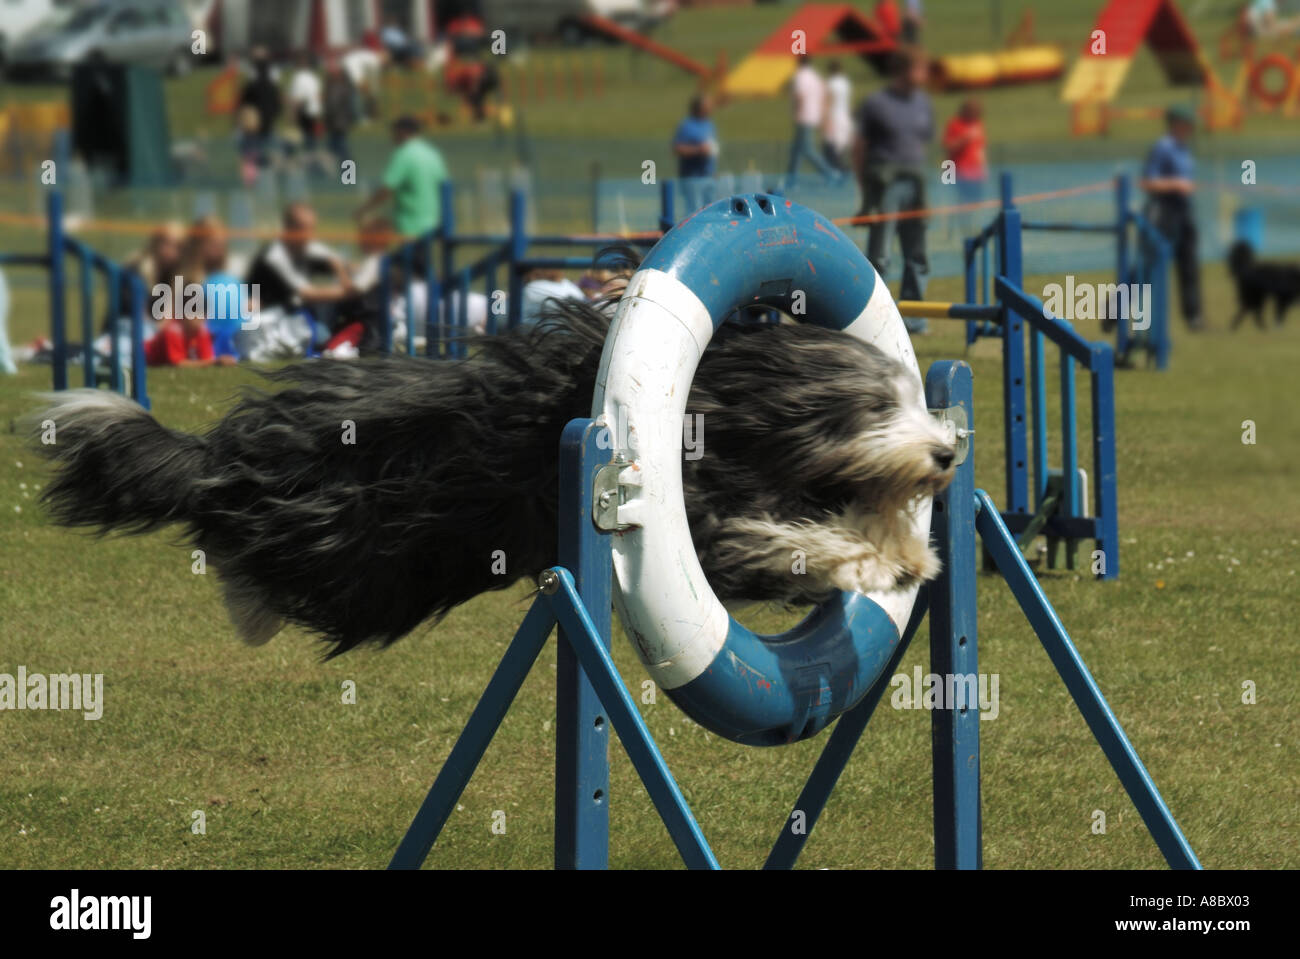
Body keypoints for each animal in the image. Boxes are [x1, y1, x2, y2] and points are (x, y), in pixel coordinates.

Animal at [22, 300, 956, 657]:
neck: (725, 405)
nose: (945, 454)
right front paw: (874, 557)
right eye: (870, 406)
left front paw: (906, 550)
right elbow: (775, 539)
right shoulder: (704, 516)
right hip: (347, 538)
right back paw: (245, 598)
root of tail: (229, 453)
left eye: (912, 399)